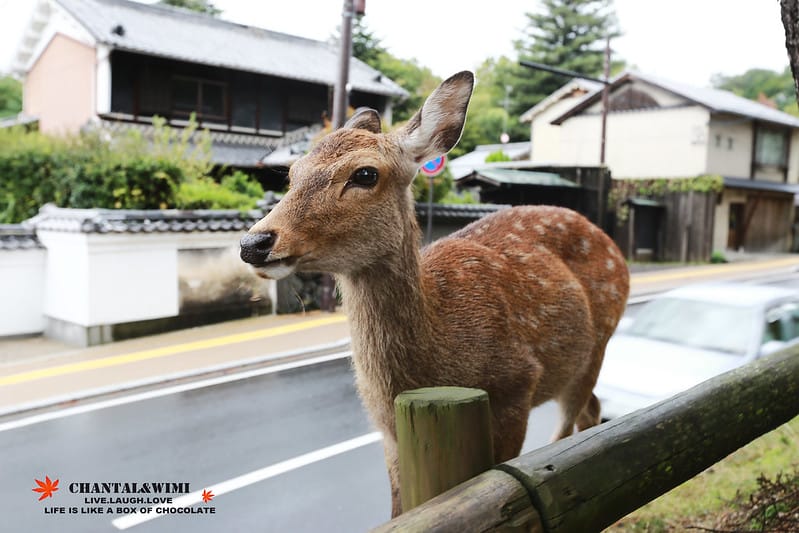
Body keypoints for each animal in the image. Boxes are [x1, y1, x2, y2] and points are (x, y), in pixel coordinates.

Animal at [239, 71, 630, 518]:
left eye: (365, 174)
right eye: (292, 173)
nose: (254, 243)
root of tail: (613, 246)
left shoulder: (517, 385)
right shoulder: (386, 429)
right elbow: (397, 510)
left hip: (596, 346)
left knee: (568, 433)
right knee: (593, 411)